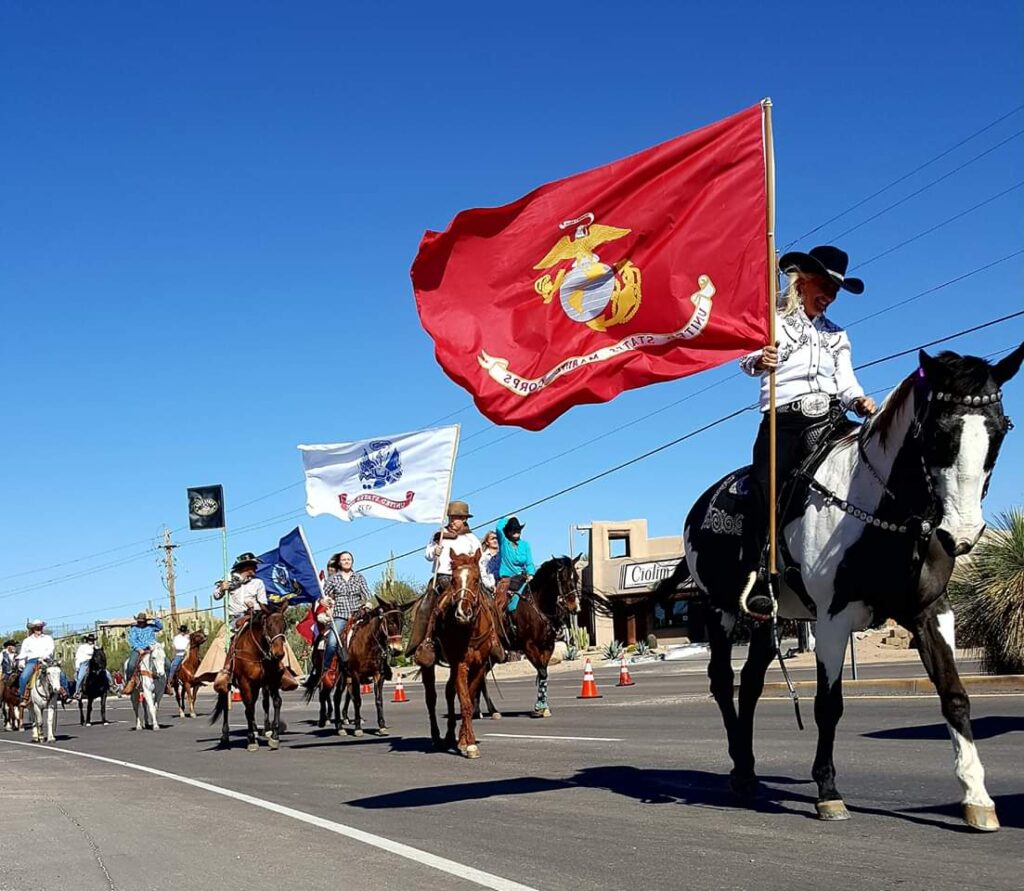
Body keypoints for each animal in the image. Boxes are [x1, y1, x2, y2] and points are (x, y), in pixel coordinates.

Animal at [207, 606, 288, 753]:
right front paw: (251, 740)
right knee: (227, 707)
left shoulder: (271, 681)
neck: (258, 653)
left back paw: (255, 730)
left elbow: (276, 702)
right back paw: (225, 736)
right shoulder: (245, 683)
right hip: (229, 686)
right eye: (269, 625)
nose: (279, 653)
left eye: (284, 625)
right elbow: (249, 708)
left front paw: (274, 736)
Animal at [417, 553, 493, 761]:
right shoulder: (460, 664)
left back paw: (451, 735)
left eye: (476, 579)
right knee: (431, 698)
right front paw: (471, 745)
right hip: (429, 666)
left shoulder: (479, 667)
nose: (462, 613)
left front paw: (463, 741)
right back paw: (436, 736)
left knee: (449, 693)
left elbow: (469, 698)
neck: (470, 630)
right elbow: (465, 702)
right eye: (453, 580)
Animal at [671, 346, 1024, 835]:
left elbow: (954, 695)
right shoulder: (833, 618)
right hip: (719, 610)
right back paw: (740, 767)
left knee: (752, 683)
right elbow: (828, 705)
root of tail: (700, 503)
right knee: (724, 682)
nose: (963, 534)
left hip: (767, 617)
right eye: (938, 432)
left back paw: (747, 771)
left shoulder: (931, 611)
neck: (885, 513)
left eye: (1000, 430)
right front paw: (828, 791)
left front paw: (977, 798)